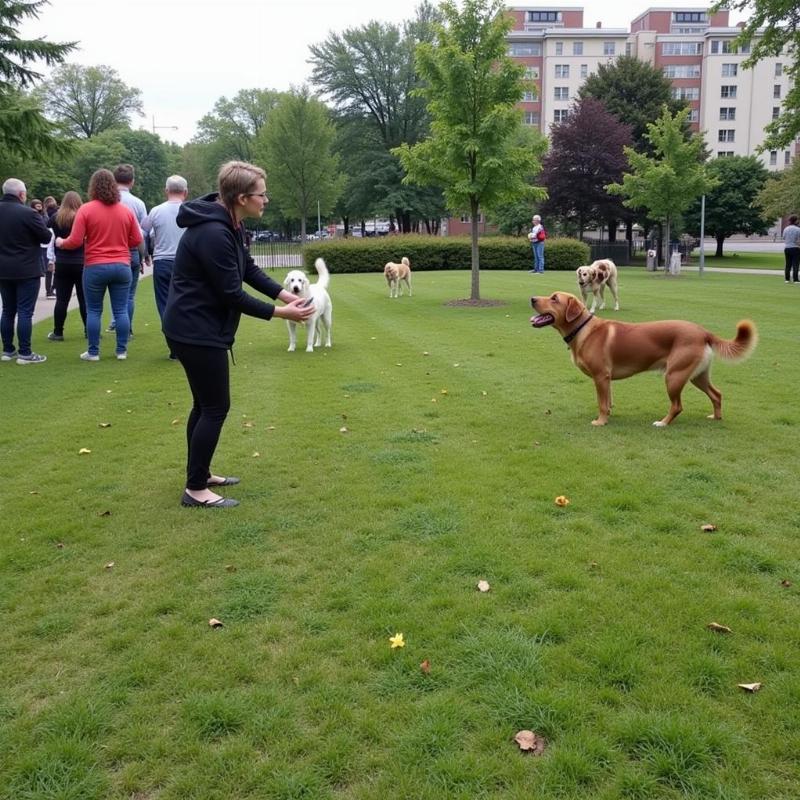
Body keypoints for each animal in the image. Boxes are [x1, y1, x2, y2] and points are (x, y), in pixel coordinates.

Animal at [532, 292, 756, 424]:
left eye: (554, 299)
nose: (532, 299)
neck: (583, 329)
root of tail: (703, 332)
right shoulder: (607, 379)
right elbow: (609, 401)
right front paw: (608, 416)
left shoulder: (600, 376)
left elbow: (602, 403)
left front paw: (600, 421)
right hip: (697, 376)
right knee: (717, 395)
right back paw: (716, 417)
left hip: (674, 376)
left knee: (677, 406)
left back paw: (663, 423)